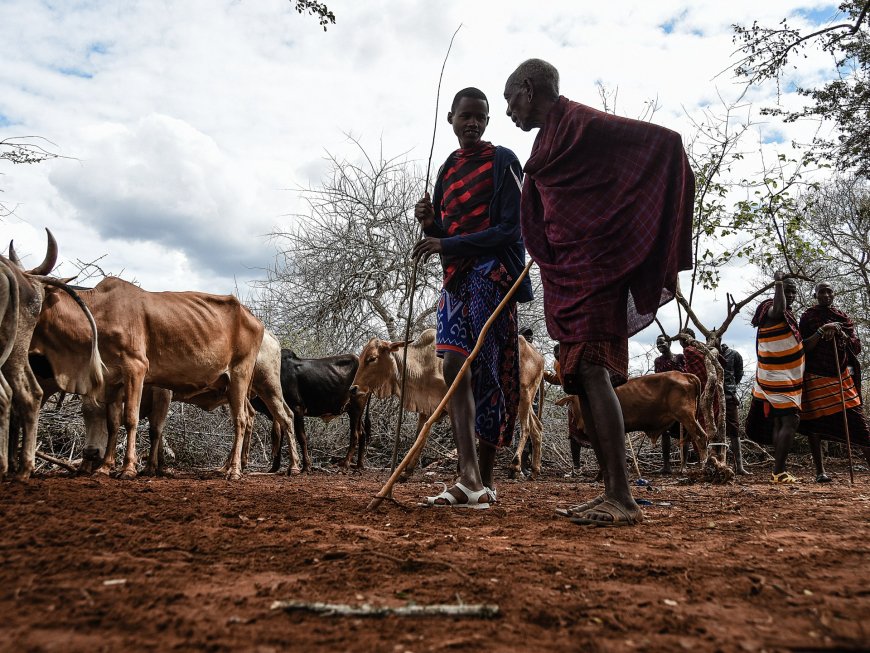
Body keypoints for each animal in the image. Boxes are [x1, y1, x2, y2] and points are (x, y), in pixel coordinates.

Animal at [29, 276, 270, 478]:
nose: (89, 453)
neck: (99, 312)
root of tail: (254, 318)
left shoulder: (137, 369)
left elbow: (133, 419)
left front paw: (129, 468)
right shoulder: (112, 381)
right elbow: (114, 423)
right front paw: (106, 467)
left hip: (239, 375)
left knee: (241, 420)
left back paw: (235, 470)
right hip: (230, 386)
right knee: (247, 416)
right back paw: (229, 466)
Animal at [350, 332, 544, 478]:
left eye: (372, 358)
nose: (353, 388)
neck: (424, 363)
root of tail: (539, 356)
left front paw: (460, 470)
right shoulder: (427, 408)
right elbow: (420, 436)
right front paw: (407, 471)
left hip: (524, 395)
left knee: (526, 427)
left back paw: (515, 466)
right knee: (537, 427)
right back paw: (535, 469)